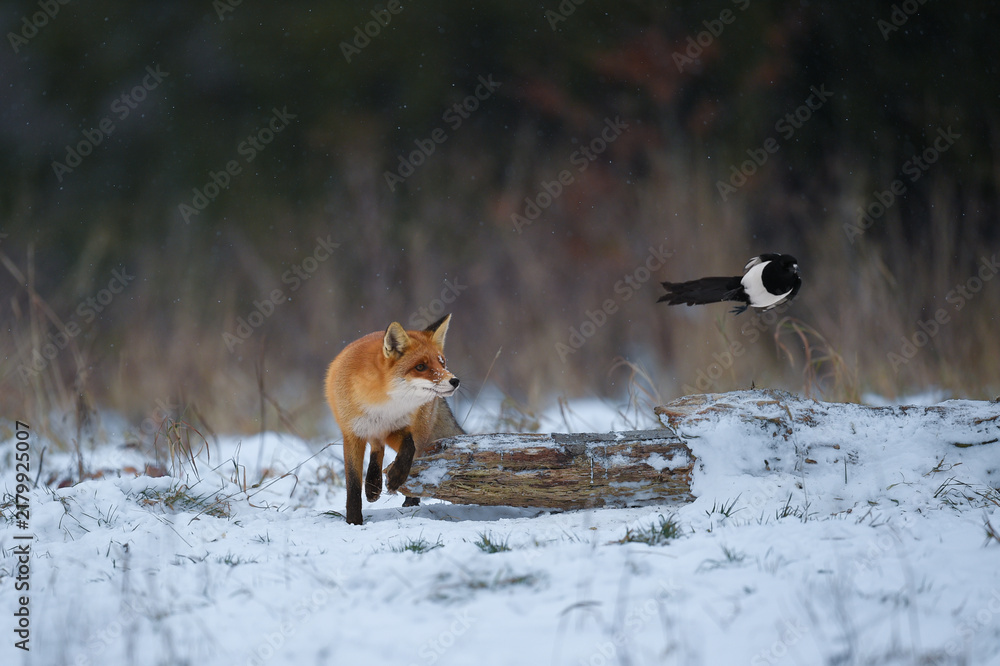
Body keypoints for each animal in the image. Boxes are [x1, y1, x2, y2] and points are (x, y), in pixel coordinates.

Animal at [324, 314, 463, 525]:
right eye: (420, 367)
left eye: (442, 363)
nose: (455, 381)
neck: (382, 405)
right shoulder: (352, 434)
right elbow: (353, 485)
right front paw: (354, 521)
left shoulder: (397, 428)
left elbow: (408, 449)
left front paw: (396, 477)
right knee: (377, 448)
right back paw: (373, 485)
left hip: (419, 429)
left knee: (411, 457)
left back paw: (410, 500)